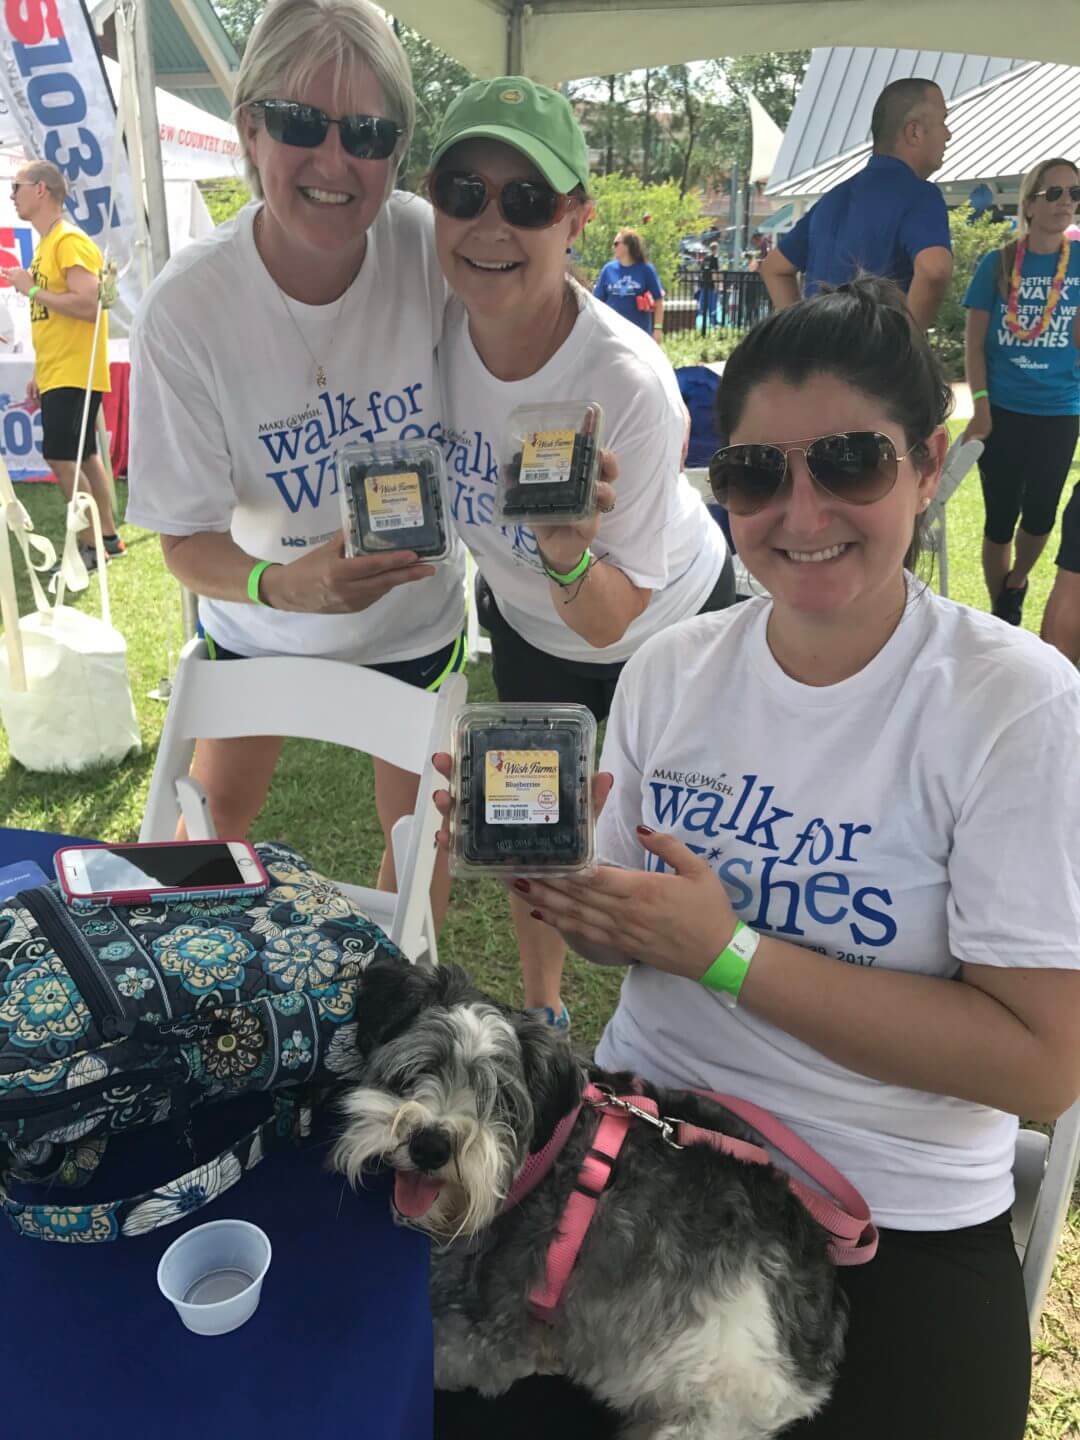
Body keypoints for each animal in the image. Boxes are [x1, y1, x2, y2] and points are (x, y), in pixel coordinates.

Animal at [334, 956, 852, 1440]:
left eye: (501, 1101)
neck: (545, 1155)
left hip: (706, 1412)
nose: (430, 1145)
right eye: (420, 1066)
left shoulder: (484, 1339)